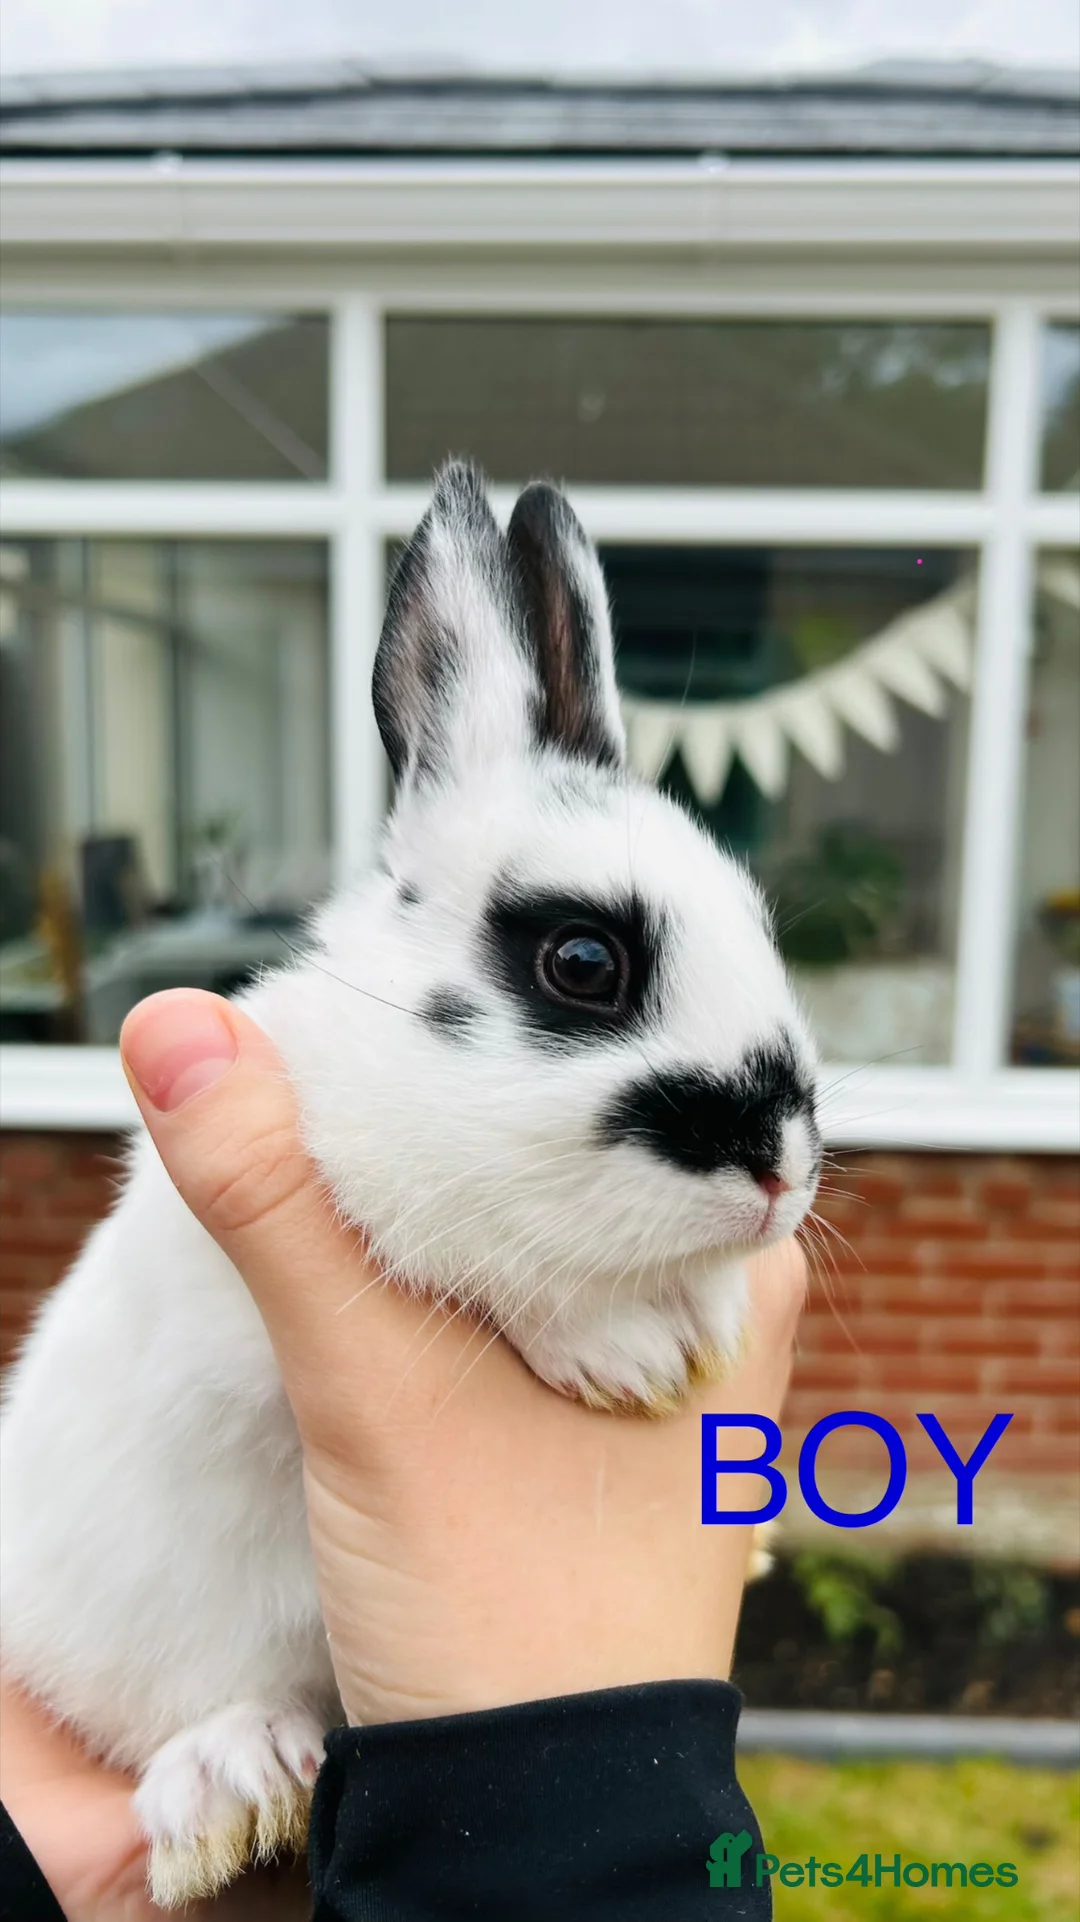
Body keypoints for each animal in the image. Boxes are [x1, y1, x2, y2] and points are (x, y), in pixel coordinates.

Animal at [0, 462, 821, 1908]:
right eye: (581, 960)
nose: (780, 1167)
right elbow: (492, 1265)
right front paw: (635, 1351)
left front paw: (709, 1324)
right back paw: (232, 1786)